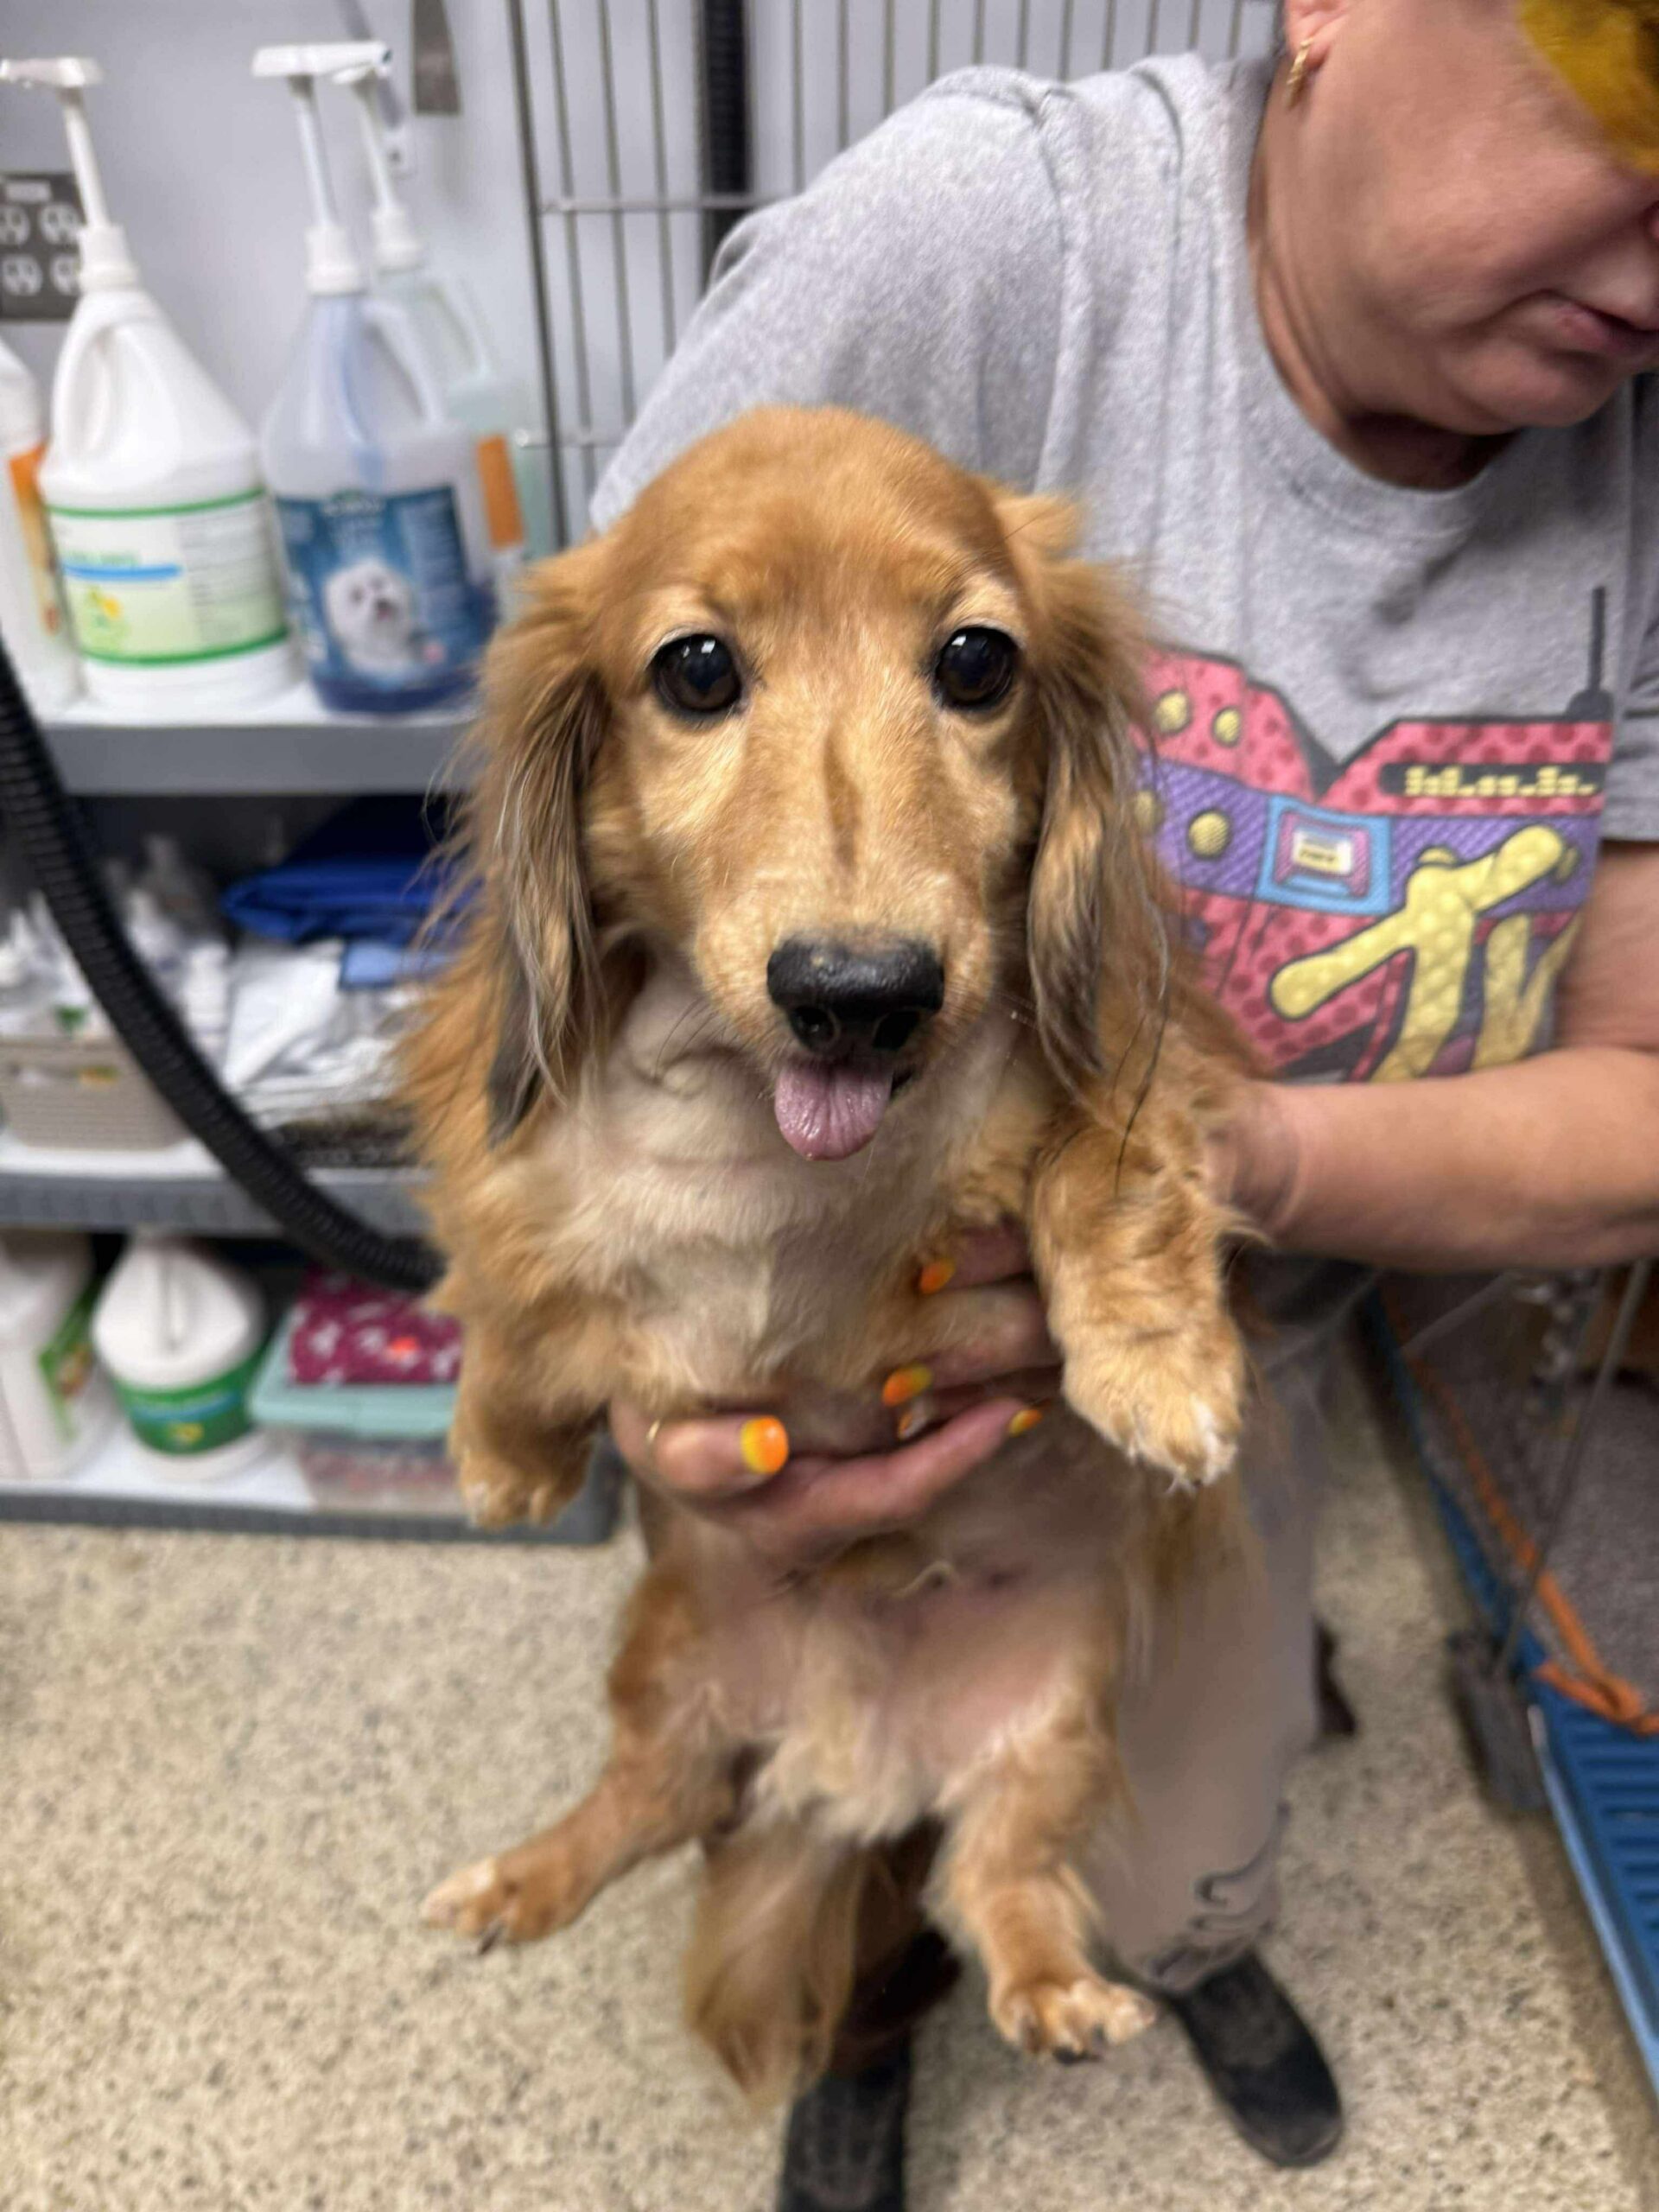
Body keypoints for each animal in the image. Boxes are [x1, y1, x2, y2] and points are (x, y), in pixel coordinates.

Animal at [406, 405, 1250, 2102]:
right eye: (696, 670)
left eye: (979, 661)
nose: (860, 995)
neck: (771, 1132)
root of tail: (849, 1763)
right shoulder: (522, 1162)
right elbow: (513, 1299)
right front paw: (506, 1453)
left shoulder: (1116, 1058)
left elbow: (1111, 1171)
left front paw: (1158, 1369)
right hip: (667, 1660)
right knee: (649, 1806)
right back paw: (520, 1882)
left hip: (1055, 1731)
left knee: (991, 1879)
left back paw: (1056, 1991)